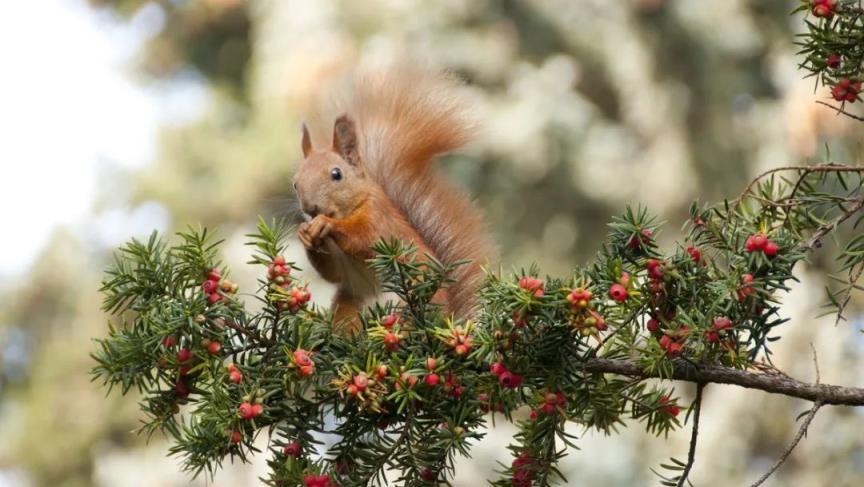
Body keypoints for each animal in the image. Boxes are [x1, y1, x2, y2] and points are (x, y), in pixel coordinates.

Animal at [292, 63, 492, 334]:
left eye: (336, 174)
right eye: (295, 183)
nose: (310, 207)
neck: (350, 209)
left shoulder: (379, 219)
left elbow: (362, 239)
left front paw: (326, 224)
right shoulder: (339, 266)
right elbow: (332, 272)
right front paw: (304, 233)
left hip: (409, 306)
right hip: (350, 306)